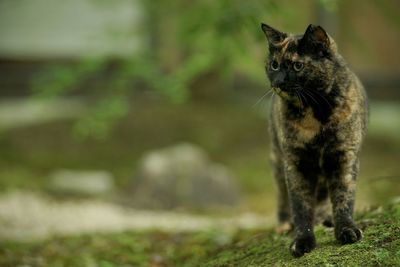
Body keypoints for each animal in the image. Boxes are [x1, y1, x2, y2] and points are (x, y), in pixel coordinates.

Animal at [260, 23, 368, 258]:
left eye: (298, 65)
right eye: (274, 65)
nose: (279, 82)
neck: (315, 114)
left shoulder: (344, 157)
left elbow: (344, 197)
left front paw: (346, 230)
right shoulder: (295, 163)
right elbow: (300, 206)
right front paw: (302, 241)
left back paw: (326, 219)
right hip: (276, 161)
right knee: (282, 196)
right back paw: (285, 225)